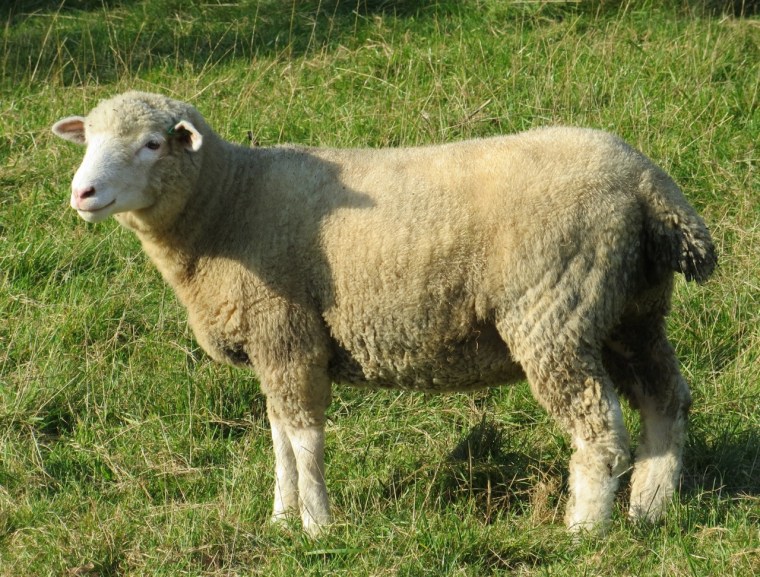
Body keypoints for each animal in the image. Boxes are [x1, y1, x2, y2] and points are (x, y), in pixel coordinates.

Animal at [52, 91, 716, 536]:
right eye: (88, 140)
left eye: (151, 144)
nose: (81, 194)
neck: (228, 203)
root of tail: (647, 181)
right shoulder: (272, 344)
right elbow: (279, 437)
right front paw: (280, 519)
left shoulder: (288, 333)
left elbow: (303, 438)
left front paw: (317, 527)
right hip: (631, 311)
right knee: (665, 399)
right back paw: (650, 508)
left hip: (555, 311)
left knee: (599, 429)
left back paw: (585, 529)